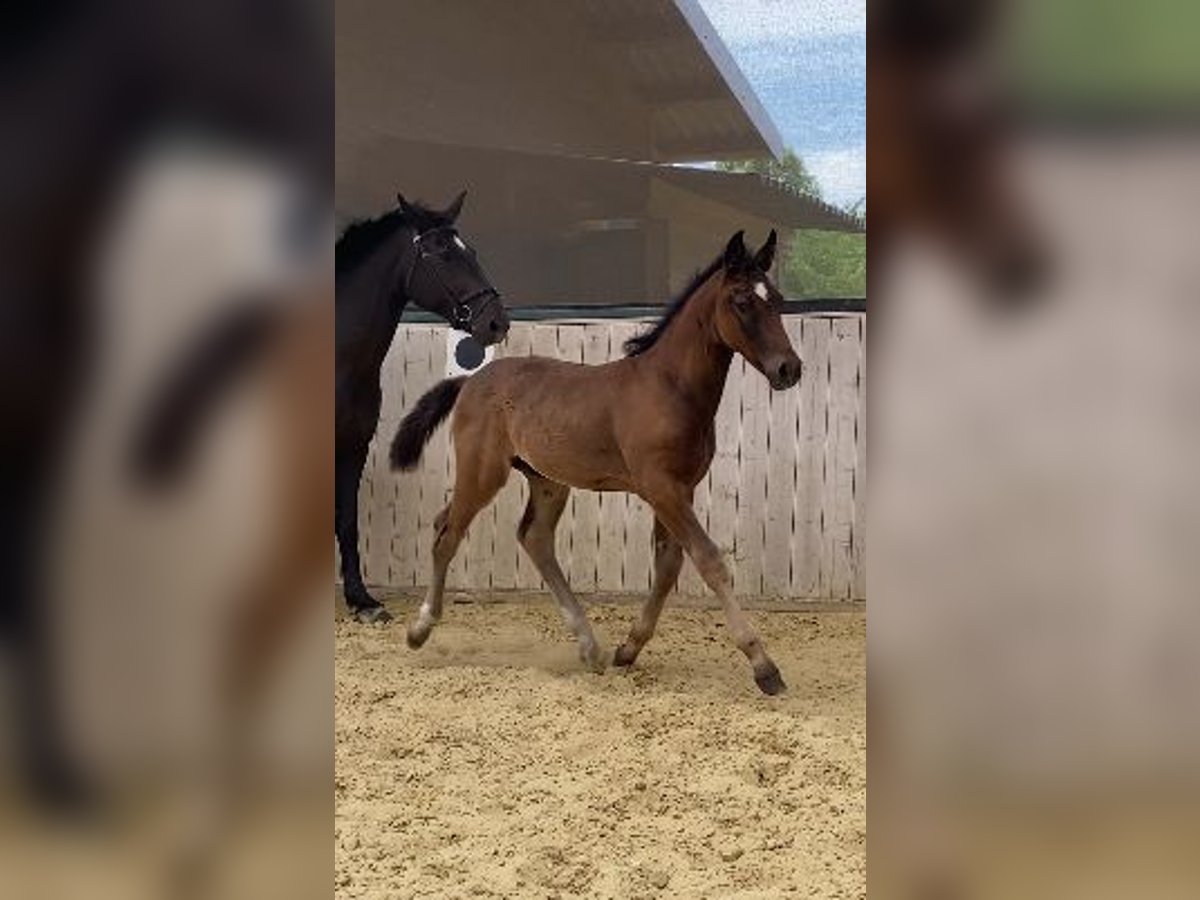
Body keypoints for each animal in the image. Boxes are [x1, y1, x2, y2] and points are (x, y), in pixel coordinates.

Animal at [336, 194, 508, 624]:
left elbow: (346, 521)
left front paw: (362, 600)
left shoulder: (352, 446)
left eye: (471, 251)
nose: (497, 322)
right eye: (443, 253)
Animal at [393, 232, 806, 696]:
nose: (788, 369)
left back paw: (590, 646)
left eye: (777, 300)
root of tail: (469, 381)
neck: (670, 388)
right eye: (741, 302)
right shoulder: (661, 488)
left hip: (547, 480)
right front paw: (764, 666)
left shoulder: (679, 489)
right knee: (447, 532)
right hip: (483, 472)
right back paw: (420, 629)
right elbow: (708, 560)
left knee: (533, 538)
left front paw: (628, 649)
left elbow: (668, 567)